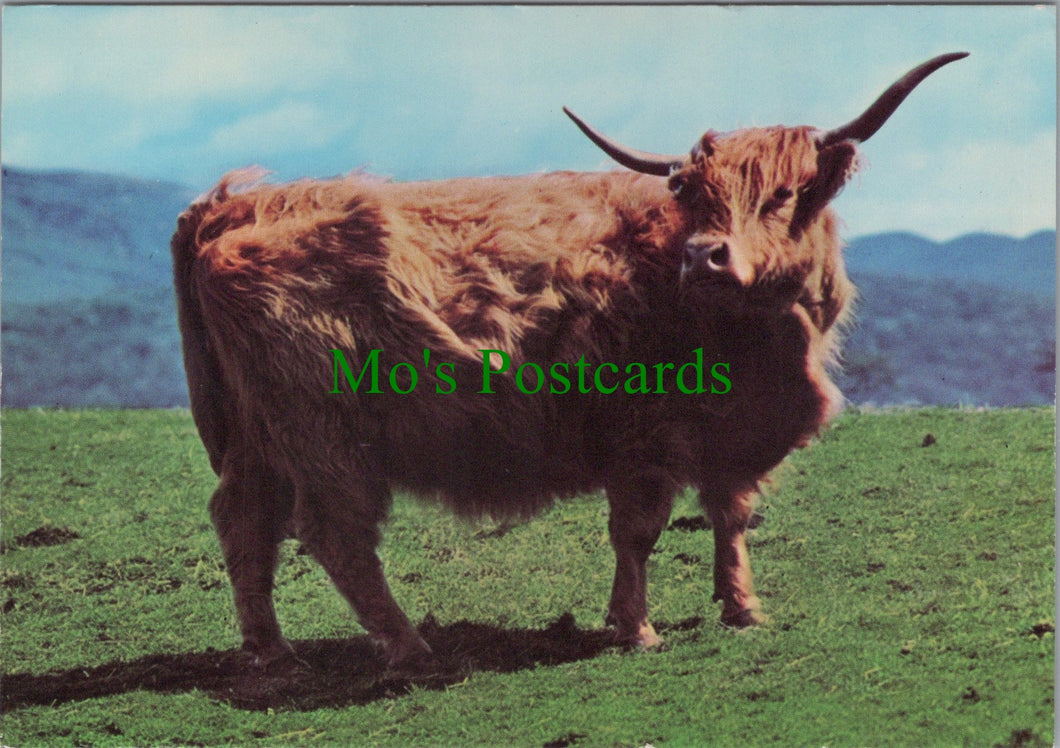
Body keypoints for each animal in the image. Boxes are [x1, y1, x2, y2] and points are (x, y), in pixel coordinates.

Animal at [172, 53, 966, 670]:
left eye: (784, 194)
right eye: (696, 195)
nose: (705, 255)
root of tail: (235, 206)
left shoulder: (729, 439)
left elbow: (731, 516)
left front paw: (743, 609)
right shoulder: (642, 439)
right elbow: (638, 533)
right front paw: (635, 629)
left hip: (257, 438)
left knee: (243, 520)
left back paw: (272, 651)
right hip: (323, 437)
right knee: (335, 534)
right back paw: (407, 647)